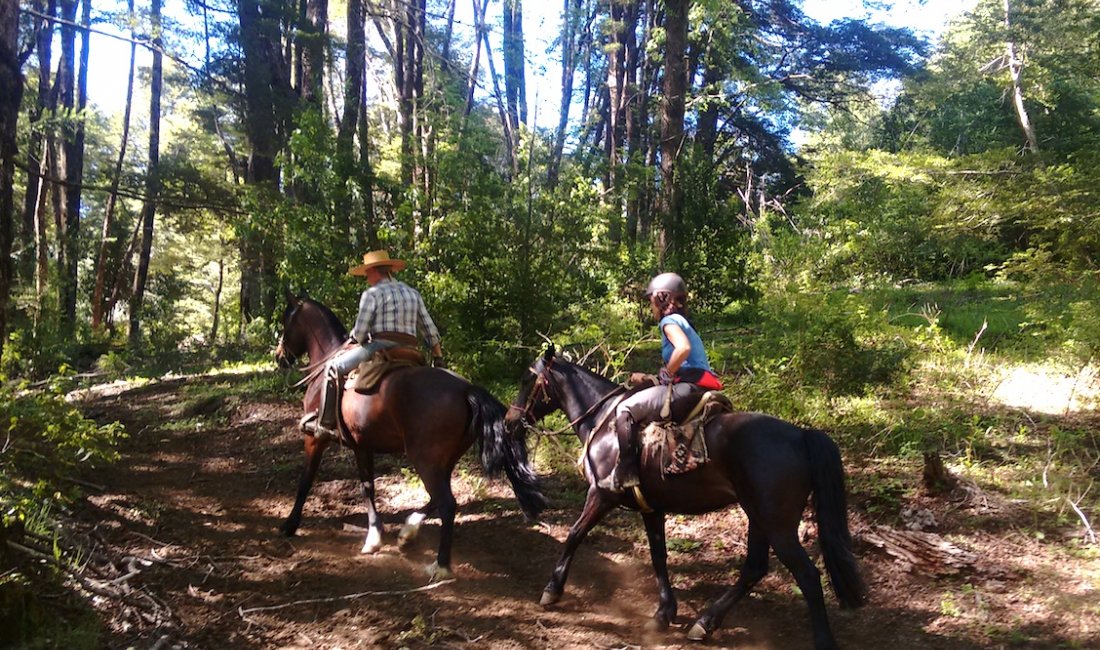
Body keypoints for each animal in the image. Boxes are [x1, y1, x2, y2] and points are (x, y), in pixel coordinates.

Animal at [273, 292, 545, 580]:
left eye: (286, 320)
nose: (280, 356)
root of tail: (466, 390)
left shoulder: (316, 439)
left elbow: (306, 481)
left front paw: (289, 524)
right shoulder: (362, 445)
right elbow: (367, 486)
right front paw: (374, 537)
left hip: (424, 459)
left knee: (447, 504)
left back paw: (440, 565)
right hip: (442, 460)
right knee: (438, 499)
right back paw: (408, 532)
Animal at [506, 343, 866, 646]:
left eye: (527, 378)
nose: (510, 421)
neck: (604, 421)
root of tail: (802, 436)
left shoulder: (602, 495)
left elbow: (574, 534)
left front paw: (552, 590)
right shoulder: (652, 508)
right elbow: (659, 556)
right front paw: (664, 613)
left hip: (777, 524)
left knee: (807, 575)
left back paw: (821, 640)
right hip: (759, 517)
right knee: (754, 568)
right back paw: (705, 623)